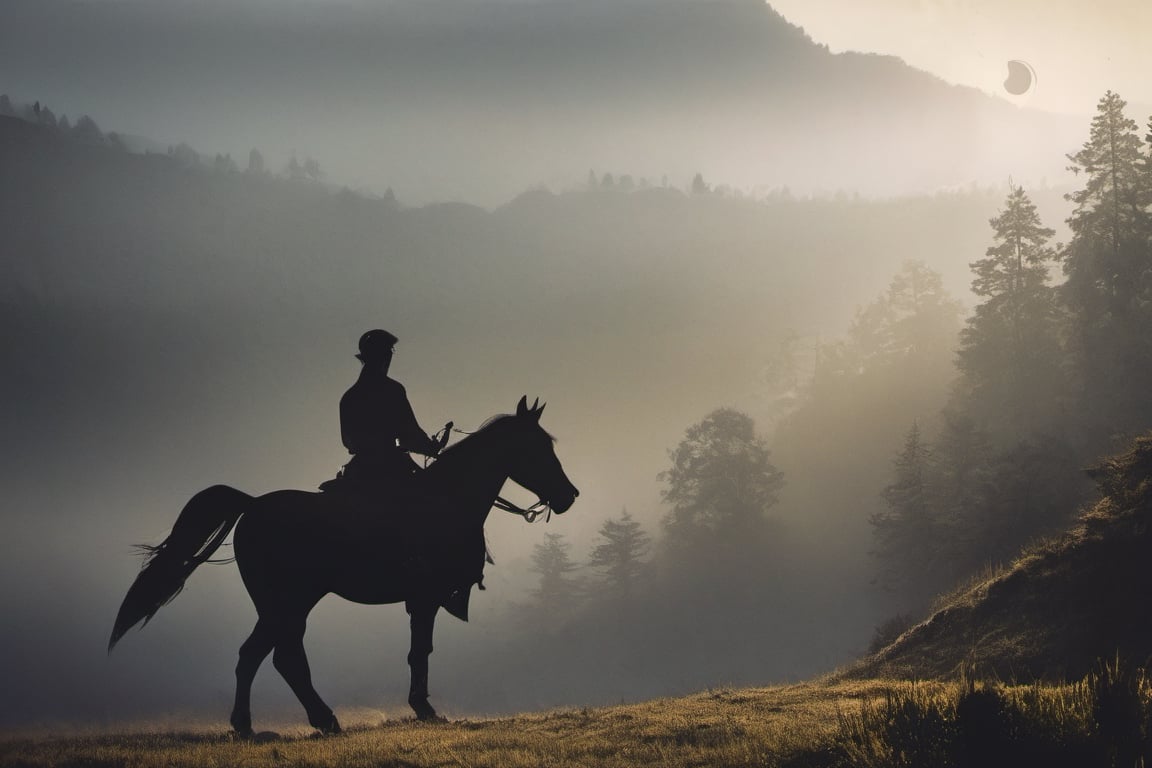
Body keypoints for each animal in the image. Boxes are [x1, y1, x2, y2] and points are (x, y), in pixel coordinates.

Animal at [105, 400, 576, 736]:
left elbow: (418, 650)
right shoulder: (424, 598)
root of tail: (252, 505)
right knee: (277, 656)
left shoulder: (419, 600)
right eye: (538, 448)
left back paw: (257, 725)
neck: (447, 499)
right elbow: (419, 651)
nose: (569, 495)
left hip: (281, 604)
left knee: (261, 655)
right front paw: (424, 708)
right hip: (290, 600)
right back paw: (314, 720)